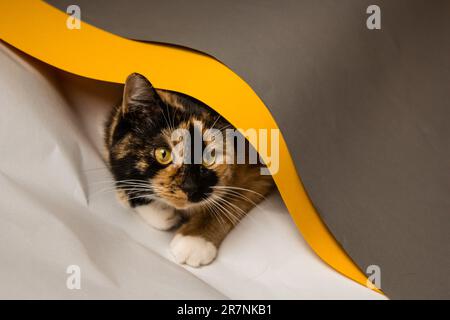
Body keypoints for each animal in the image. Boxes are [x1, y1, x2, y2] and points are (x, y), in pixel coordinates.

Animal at [104, 74, 274, 266]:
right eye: (163, 154)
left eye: (211, 156)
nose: (190, 188)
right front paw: (161, 213)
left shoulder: (258, 168)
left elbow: (231, 199)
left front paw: (194, 241)